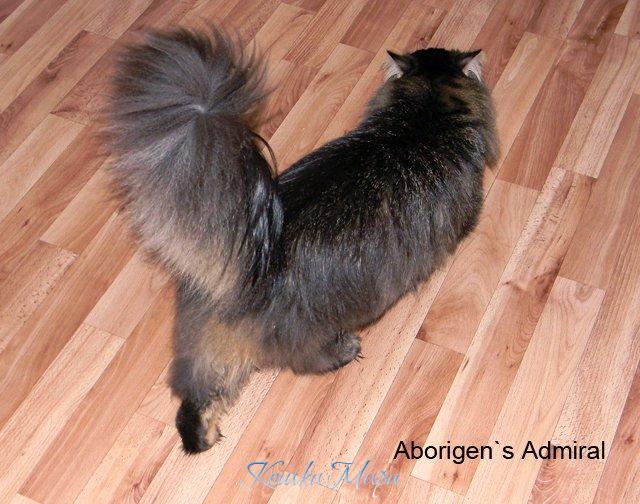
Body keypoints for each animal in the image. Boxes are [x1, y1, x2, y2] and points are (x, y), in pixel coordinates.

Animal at [105, 26, 498, 453]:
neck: (423, 114)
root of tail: (256, 255)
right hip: (306, 328)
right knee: (302, 360)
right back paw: (345, 351)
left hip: (207, 342)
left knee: (199, 395)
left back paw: (203, 438)